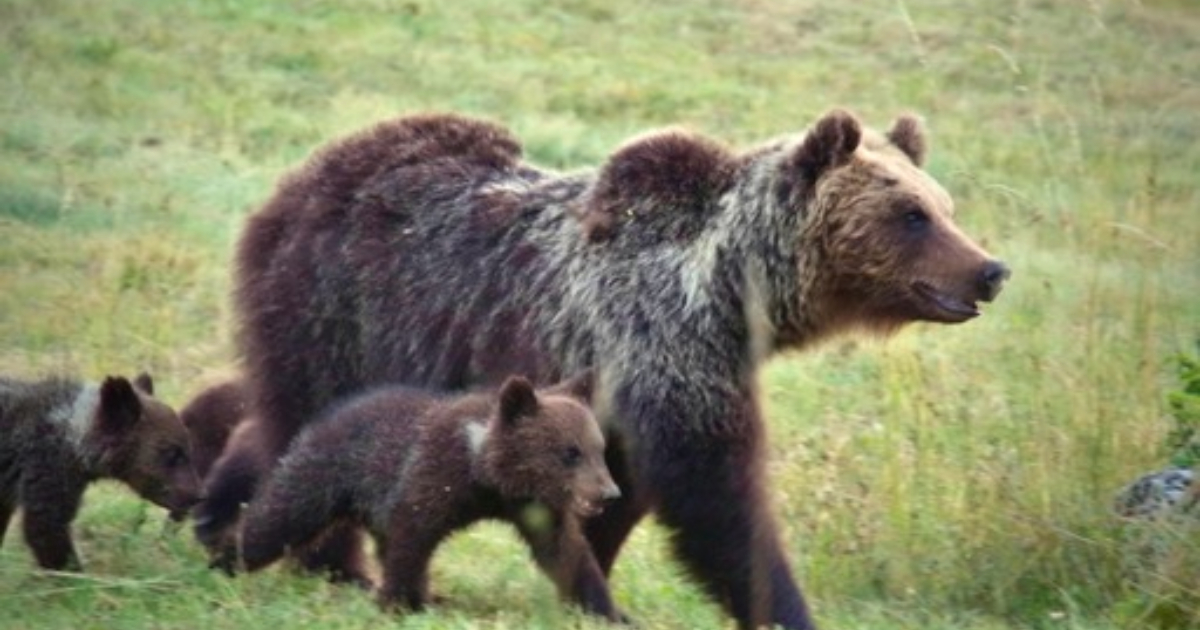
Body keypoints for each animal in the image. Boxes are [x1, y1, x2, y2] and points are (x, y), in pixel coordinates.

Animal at [226, 372, 619, 614]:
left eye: (599, 448)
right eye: (570, 452)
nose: (610, 493)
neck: (483, 473)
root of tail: (323, 416)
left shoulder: (533, 506)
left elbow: (566, 552)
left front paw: (607, 609)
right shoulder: (431, 477)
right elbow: (412, 541)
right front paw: (399, 603)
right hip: (322, 475)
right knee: (277, 519)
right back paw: (226, 558)